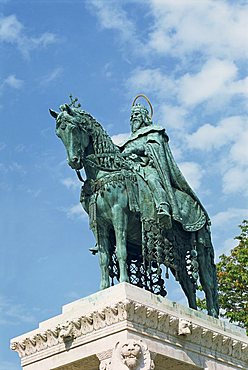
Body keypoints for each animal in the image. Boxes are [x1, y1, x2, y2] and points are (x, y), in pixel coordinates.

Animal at [50, 104, 219, 318]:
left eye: (74, 128)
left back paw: (212, 315)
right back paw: (194, 312)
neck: (104, 173)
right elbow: (104, 258)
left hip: (200, 243)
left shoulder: (118, 215)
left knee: (206, 280)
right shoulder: (99, 226)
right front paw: (103, 289)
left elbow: (121, 250)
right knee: (188, 284)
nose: (74, 161)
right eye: (59, 133)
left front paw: (123, 281)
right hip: (177, 252)